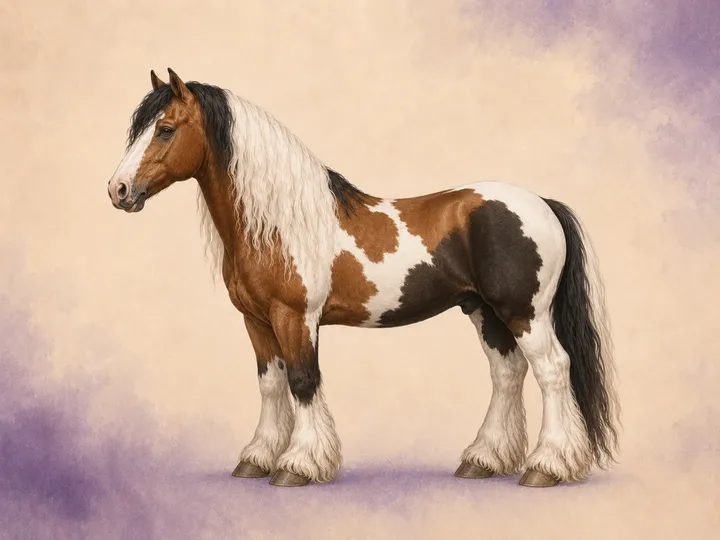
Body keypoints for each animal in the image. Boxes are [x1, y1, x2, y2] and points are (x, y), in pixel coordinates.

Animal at [107, 68, 620, 488]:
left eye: (165, 129)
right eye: (137, 130)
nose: (118, 190)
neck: (277, 223)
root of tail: (541, 202)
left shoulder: (296, 317)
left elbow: (303, 381)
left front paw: (298, 465)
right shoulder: (255, 320)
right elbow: (270, 385)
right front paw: (257, 458)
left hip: (524, 312)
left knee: (552, 370)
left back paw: (546, 466)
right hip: (484, 311)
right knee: (507, 374)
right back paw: (483, 459)